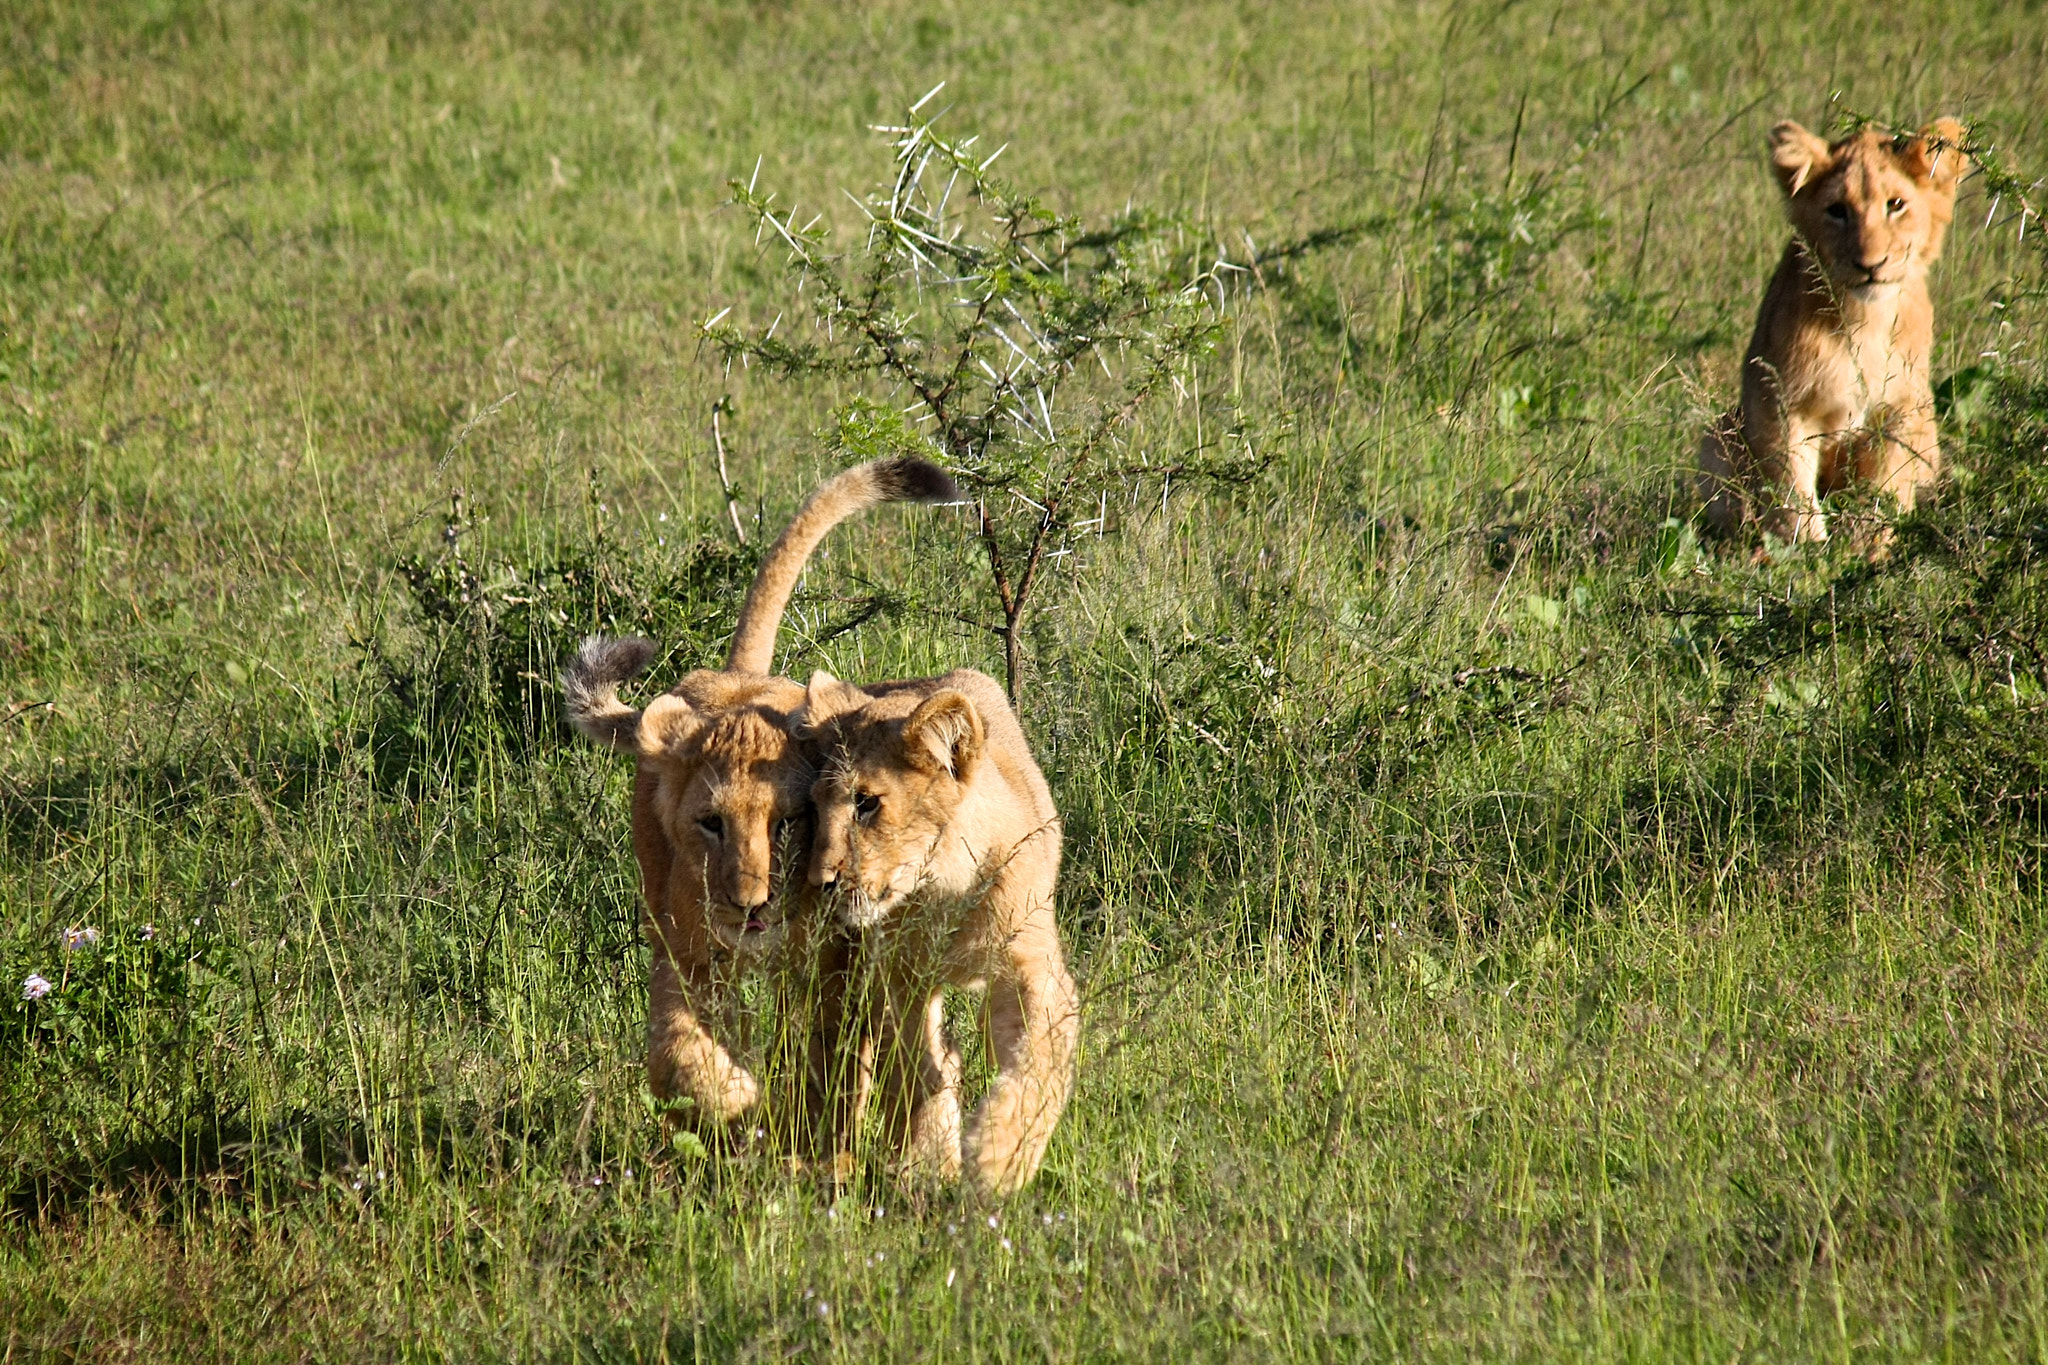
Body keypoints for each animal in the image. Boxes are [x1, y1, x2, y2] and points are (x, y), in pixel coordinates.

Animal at [561, 456, 957, 1151]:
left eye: (786, 823)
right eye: (711, 824)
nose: (750, 906)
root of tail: (733, 674)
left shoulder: (835, 966)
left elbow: (828, 1061)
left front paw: (807, 1139)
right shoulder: (687, 956)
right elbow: (679, 1054)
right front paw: (734, 1106)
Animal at [794, 666, 1078, 1197]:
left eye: (866, 803)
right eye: (816, 808)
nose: (819, 882)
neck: (942, 893)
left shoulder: (1031, 964)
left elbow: (1039, 1058)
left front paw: (999, 1159)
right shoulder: (899, 979)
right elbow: (917, 1072)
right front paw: (927, 1163)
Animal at [1700, 117, 1969, 546]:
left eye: (1896, 205)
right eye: (1837, 211)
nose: (1871, 264)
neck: (1866, 319)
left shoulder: (1901, 408)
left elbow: (1884, 485)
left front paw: (1868, 547)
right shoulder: (1779, 401)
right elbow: (1791, 485)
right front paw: (1805, 550)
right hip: (1718, 432)